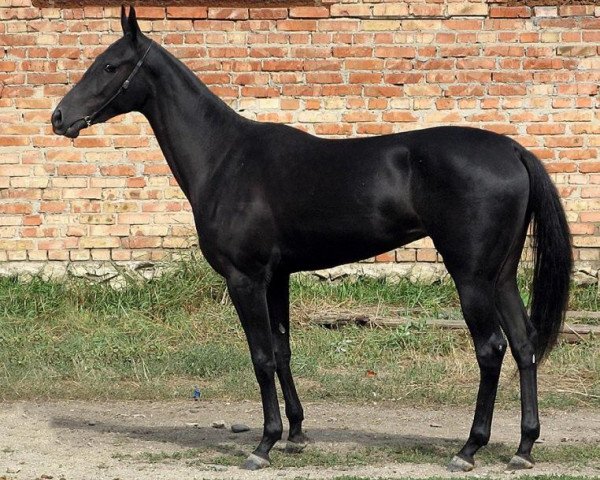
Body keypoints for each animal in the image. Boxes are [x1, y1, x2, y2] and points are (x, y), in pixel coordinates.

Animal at [52, 6, 572, 472]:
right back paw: (524, 447)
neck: (226, 158)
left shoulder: (245, 279)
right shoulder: (277, 276)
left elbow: (261, 356)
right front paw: (296, 435)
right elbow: (283, 351)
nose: (59, 118)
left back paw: (469, 449)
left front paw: (264, 444)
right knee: (524, 344)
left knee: (492, 348)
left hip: (471, 277)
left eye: (110, 65)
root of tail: (513, 150)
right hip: (501, 276)